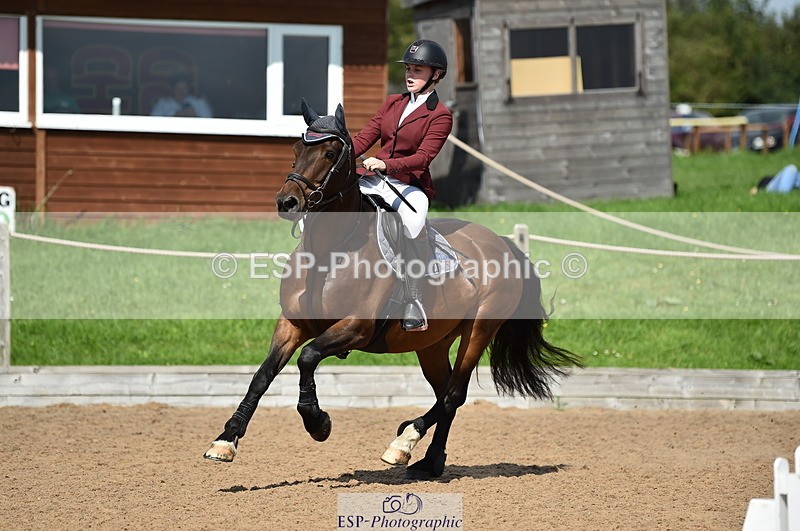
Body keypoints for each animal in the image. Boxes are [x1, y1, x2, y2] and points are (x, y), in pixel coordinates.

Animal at [204, 101, 582, 480]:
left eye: (329, 153)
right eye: (296, 151)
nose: (287, 203)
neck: (329, 252)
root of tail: (501, 242)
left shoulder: (356, 327)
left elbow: (308, 357)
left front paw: (317, 422)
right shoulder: (292, 325)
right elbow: (262, 375)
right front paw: (225, 440)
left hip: (480, 330)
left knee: (453, 394)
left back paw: (404, 441)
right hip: (432, 343)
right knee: (445, 392)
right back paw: (428, 461)